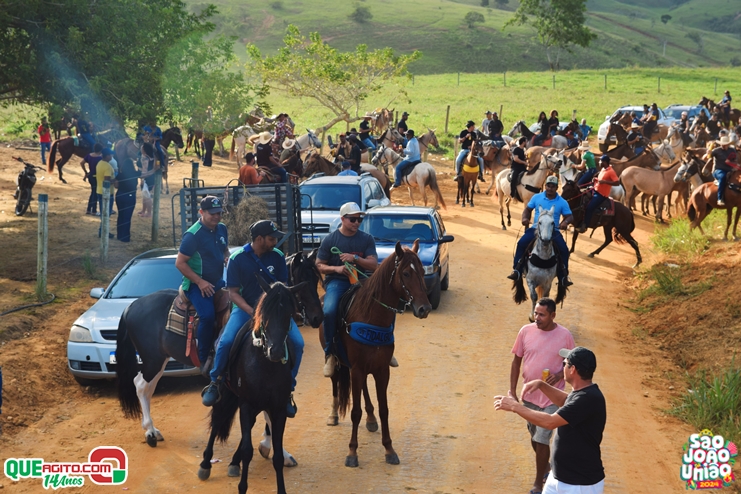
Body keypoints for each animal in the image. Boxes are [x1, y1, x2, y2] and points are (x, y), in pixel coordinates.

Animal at [115, 265, 324, 449]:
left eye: (316, 279)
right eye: (302, 279)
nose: (317, 317)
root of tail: (130, 306)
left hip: (161, 360)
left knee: (148, 389)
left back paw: (153, 430)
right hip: (153, 360)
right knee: (140, 386)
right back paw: (150, 431)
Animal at [198, 279, 314, 494]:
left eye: (288, 314)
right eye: (265, 314)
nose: (276, 352)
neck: (266, 365)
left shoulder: (278, 409)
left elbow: (277, 455)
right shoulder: (246, 404)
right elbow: (247, 450)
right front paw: (242, 487)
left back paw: (233, 463)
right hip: (226, 392)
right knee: (218, 420)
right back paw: (205, 464)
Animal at [325, 241, 432, 468]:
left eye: (421, 272)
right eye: (406, 273)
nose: (424, 308)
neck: (371, 316)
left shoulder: (381, 369)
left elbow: (385, 409)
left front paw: (389, 449)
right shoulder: (357, 368)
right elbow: (355, 412)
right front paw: (352, 453)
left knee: (365, 387)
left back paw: (371, 419)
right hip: (340, 362)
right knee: (335, 382)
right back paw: (333, 414)